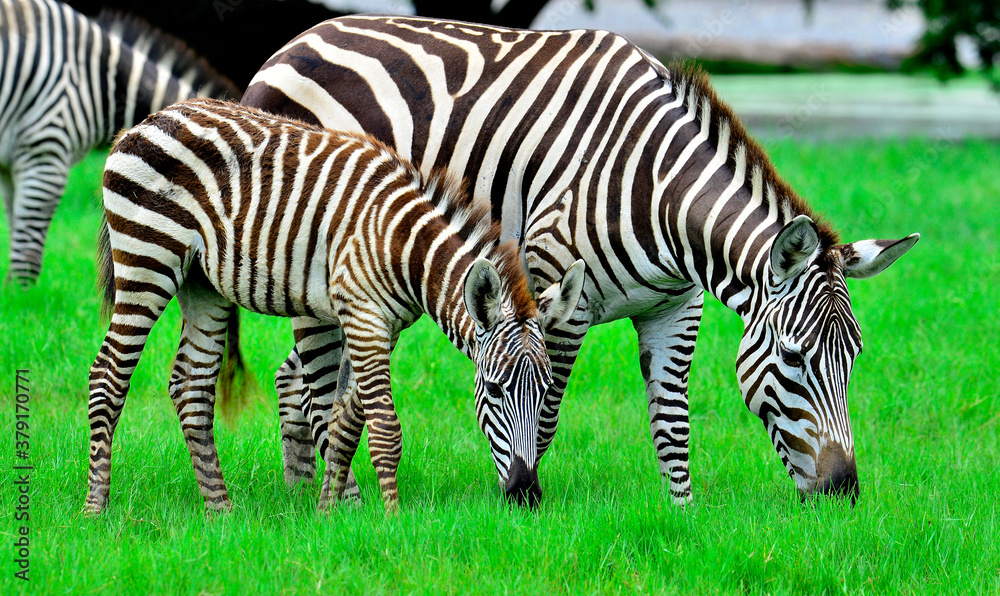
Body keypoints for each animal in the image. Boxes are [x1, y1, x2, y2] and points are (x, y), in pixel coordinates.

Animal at [0, 0, 238, 286]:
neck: (101, 84)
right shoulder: (46, 146)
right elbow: (28, 240)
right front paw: (23, 289)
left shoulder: (13, 164)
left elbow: (16, 225)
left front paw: (13, 293)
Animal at [88, 98, 584, 512]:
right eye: (495, 391)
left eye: (546, 393)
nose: (525, 493)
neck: (403, 246)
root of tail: (146, 121)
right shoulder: (364, 319)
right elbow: (384, 429)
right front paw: (391, 518)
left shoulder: (382, 325)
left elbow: (345, 421)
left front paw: (330, 512)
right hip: (148, 259)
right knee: (108, 374)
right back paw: (97, 509)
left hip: (201, 282)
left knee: (192, 387)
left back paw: (220, 513)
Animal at [240, 15, 916, 502]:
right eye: (796, 358)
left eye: (854, 358)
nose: (844, 492)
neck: (658, 191)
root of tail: (293, 42)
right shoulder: (557, 293)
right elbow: (542, 417)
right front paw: (524, 503)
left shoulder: (676, 308)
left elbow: (672, 422)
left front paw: (682, 516)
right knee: (315, 383)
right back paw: (341, 505)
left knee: (294, 378)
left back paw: (300, 497)